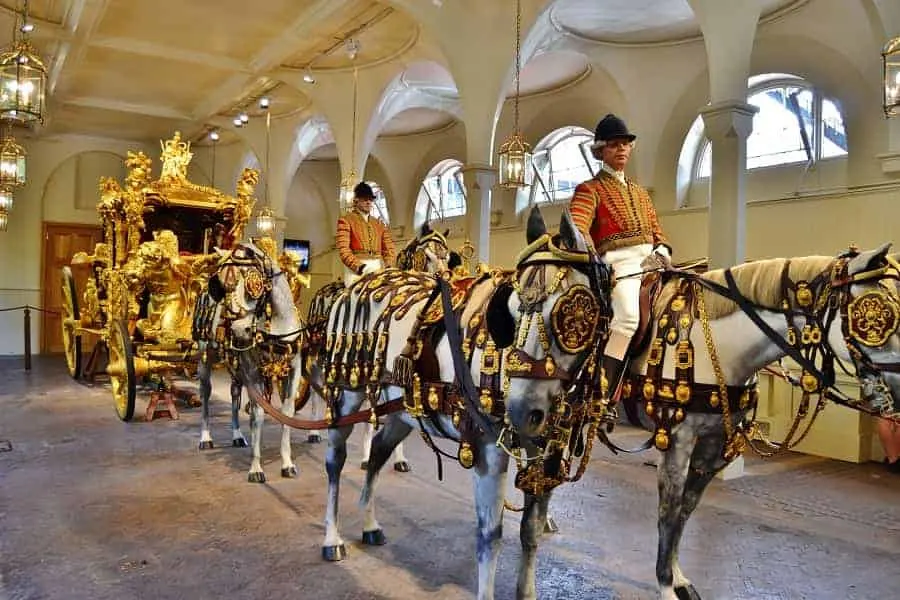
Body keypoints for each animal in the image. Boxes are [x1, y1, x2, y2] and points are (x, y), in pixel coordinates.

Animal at [500, 209, 900, 596]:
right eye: (878, 320)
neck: (719, 348)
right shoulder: (677, 441)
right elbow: (669, 509)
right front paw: (665, 583)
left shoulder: (715, 445)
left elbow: (686, 511)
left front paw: (678, 577)